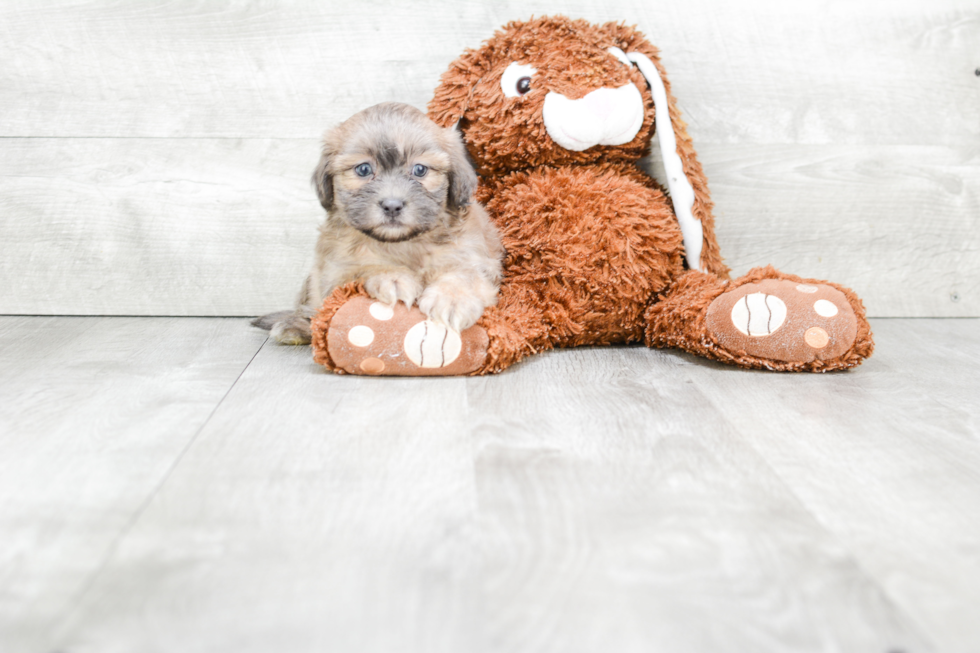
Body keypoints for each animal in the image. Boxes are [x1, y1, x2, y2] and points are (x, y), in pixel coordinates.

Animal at [253, 102, 502, 344]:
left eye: (419, 170)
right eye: (364, 169)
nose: (392, 205)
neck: (403, 243)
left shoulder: (475, 257)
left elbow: (466, 274)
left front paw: (452, 299)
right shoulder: (335, 271)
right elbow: (364, 267)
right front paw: (391, 277)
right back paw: (295, 326)